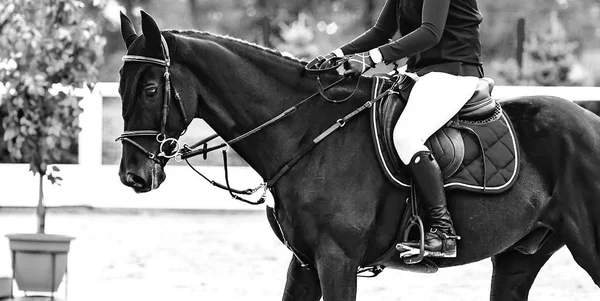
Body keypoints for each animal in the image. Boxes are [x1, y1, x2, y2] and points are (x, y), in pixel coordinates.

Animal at [116, 10, 600, 298]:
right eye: (121, 87)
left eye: (152, 89)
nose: (133, 176)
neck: (307, 133)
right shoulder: (304, 263)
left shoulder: (337, 260)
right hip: (520, 257)